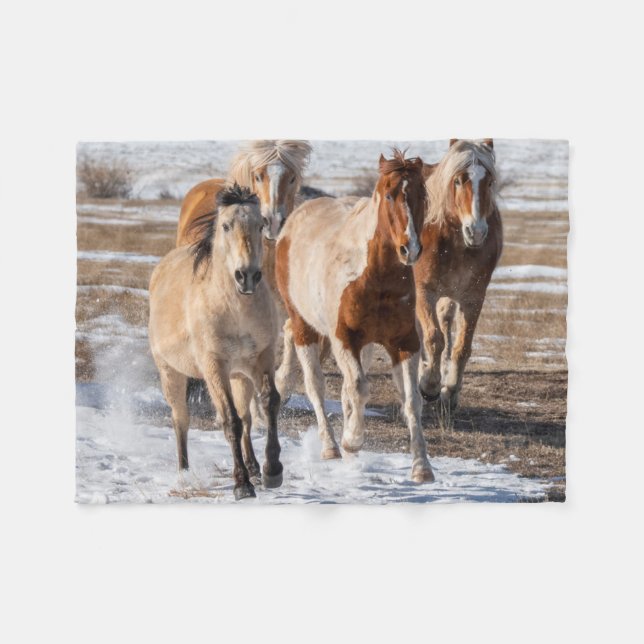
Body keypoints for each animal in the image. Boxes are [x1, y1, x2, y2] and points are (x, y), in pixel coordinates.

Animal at [149, 185, 283, 500]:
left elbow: (269, 403)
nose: (247, 276)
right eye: (226, 226)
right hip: (171, 373)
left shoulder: (263, 358)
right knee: (181, 420)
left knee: (246, 417)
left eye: (260, 225)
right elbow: (229, 421)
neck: (235, 309)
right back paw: (184, 473)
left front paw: (272, 471)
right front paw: (242, 485)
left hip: (240, 376)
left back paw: (255, 467)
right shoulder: (214, 367)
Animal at [276, 150, 435, 483]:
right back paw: (330, 447)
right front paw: (352, 440)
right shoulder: (344, 339)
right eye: (389, 194)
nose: (410, 248)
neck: (375, 277)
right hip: (305, 327)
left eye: (421, 195)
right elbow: (359, 388)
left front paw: (422, 467)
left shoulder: (404, 342)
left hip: (365, 344)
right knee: (315, 383)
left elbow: (411, 400)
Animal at [414, 138, 503, 422]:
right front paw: (429, 386)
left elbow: (461, 346)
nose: (476, 231)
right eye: (458, 180)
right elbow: (433, 338)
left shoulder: (473, 297)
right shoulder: (423, 291)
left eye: (489, 181)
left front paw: (449, 392)